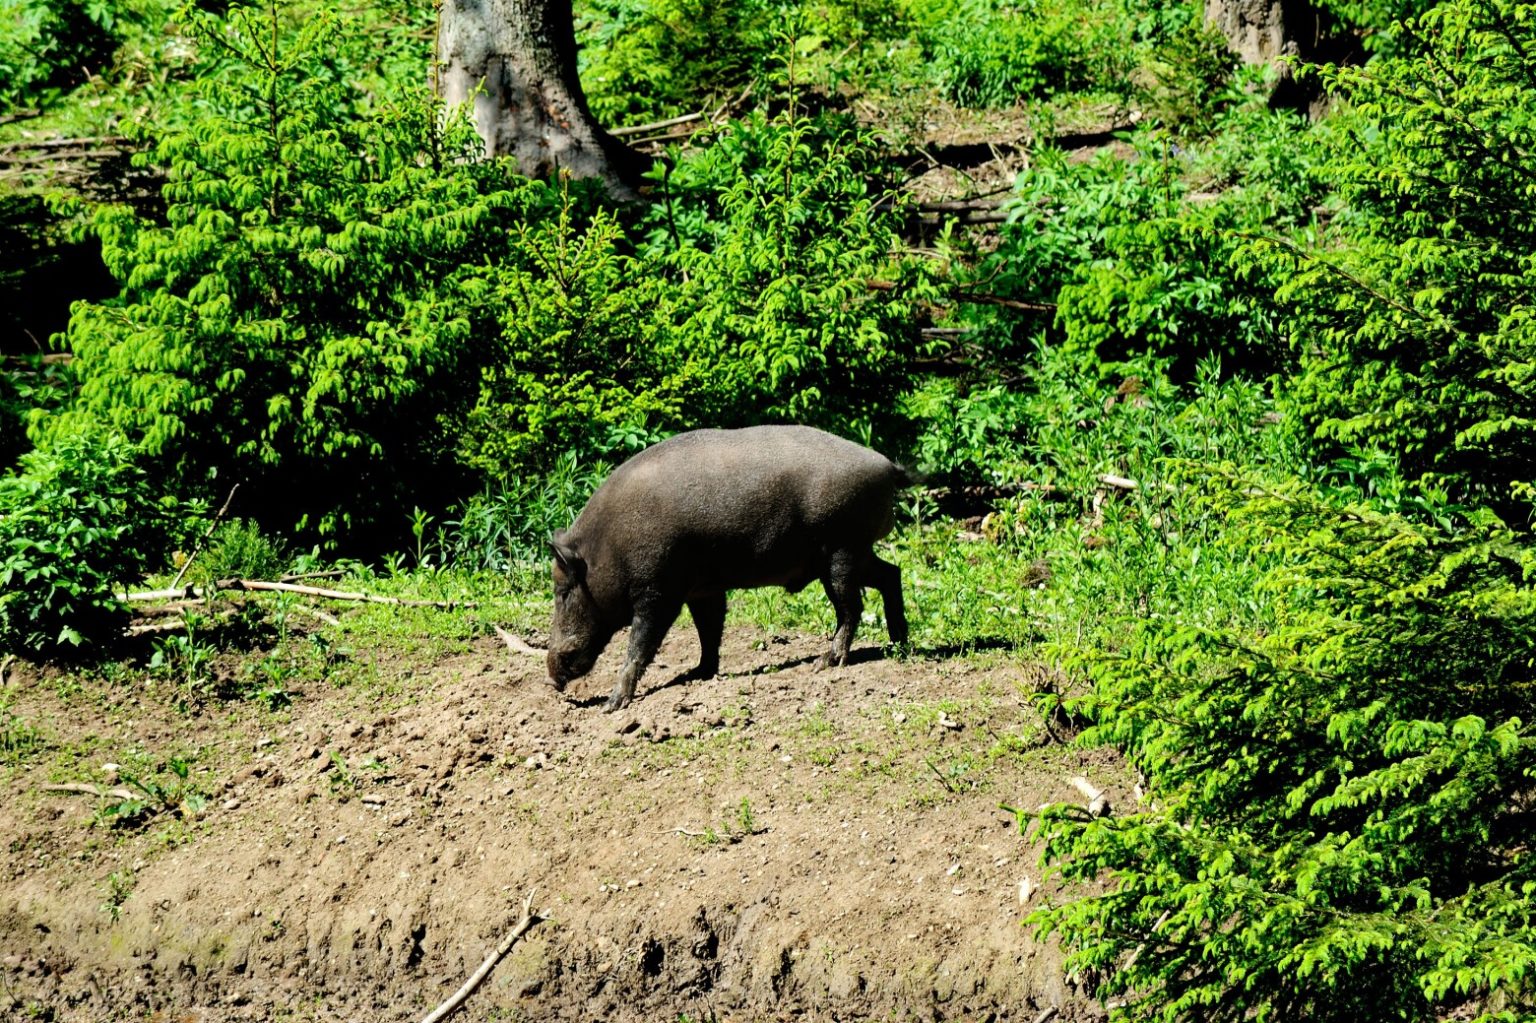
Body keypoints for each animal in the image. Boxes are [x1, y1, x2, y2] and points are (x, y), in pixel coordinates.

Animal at [546, 425, 911, 712]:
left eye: (563, 592)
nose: (551, 681)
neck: (609, 547)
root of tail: (886, 465)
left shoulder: (658, 592)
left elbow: (641, 643)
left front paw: (612, 705)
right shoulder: (702, 590)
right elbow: (709, 630)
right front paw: (698, 674)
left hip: (842, 551)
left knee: (852, 606)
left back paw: (827, 662)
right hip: (856, 553)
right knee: (891, 575)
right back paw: (898, 645)